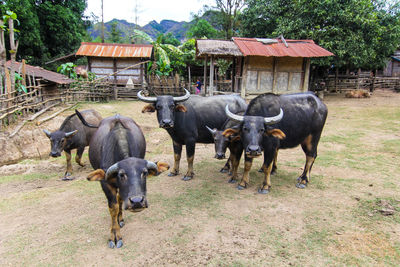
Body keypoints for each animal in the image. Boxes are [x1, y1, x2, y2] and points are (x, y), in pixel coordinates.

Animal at [75, 111, 169, 249]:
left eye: (145, 173)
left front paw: (119, 220)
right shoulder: (106, 184)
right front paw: (114, 236)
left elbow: (119, 200)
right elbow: (113, 207)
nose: (137, 202)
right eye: (121, 174)